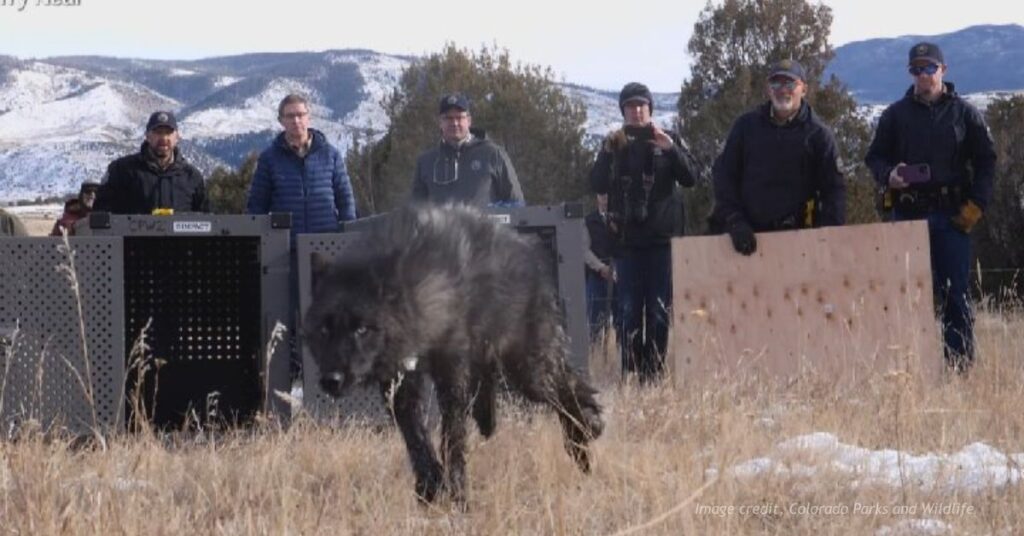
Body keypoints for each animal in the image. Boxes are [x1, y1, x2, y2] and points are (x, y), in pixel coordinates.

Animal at [304, 203, 604, 505]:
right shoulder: (400, 382)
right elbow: (414, 436)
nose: (331, 380)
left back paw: (587, 430)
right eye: (325, 329)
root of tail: (529, 249)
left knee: (569, 388)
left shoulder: (451, 373)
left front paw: (458, 493)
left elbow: (452, 437)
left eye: (362, 329)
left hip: (529, 373)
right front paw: (430, 485)